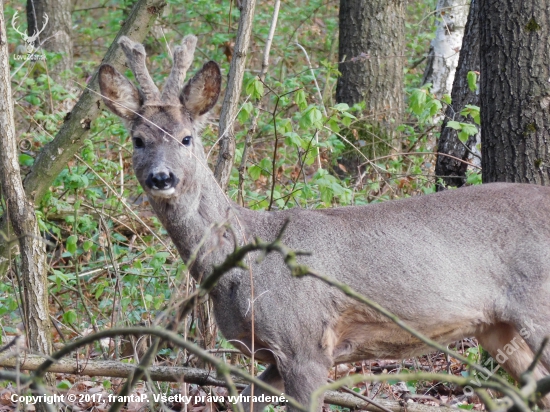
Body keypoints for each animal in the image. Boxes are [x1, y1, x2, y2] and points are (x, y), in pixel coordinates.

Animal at [99, 34, 550, 408]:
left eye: (186, 138)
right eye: (138, 140)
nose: (161, 178)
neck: (242, 268)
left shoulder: (306, 343)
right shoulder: (272, 356)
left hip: (538, 309)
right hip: (498, 328)